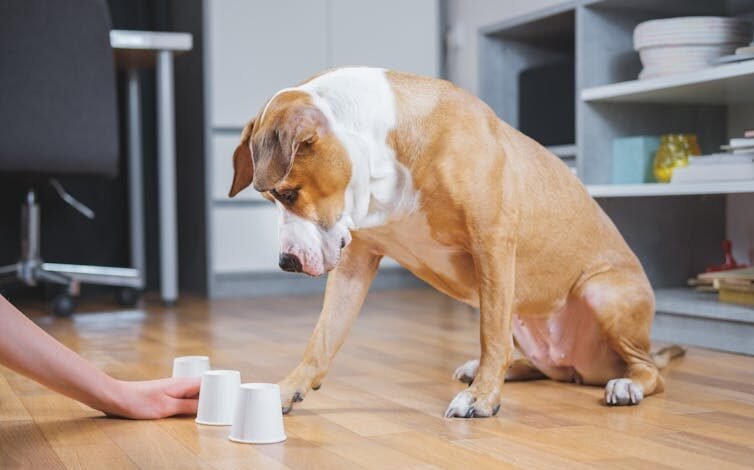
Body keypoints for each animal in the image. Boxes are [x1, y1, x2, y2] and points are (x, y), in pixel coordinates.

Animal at [228, 67, 680, 418]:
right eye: (271, 199)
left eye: (288, 194)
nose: (286, 262)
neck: (384, 151)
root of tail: (584, 367)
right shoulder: (355, 263)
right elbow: (322, 338)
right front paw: (287, 389)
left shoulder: (492, 243)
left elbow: (490, 335)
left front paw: (481, 399)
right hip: (526, 316)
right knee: (542, 364)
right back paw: (494, 369)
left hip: (602, 293)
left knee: (648, 371)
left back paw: (626, 385)